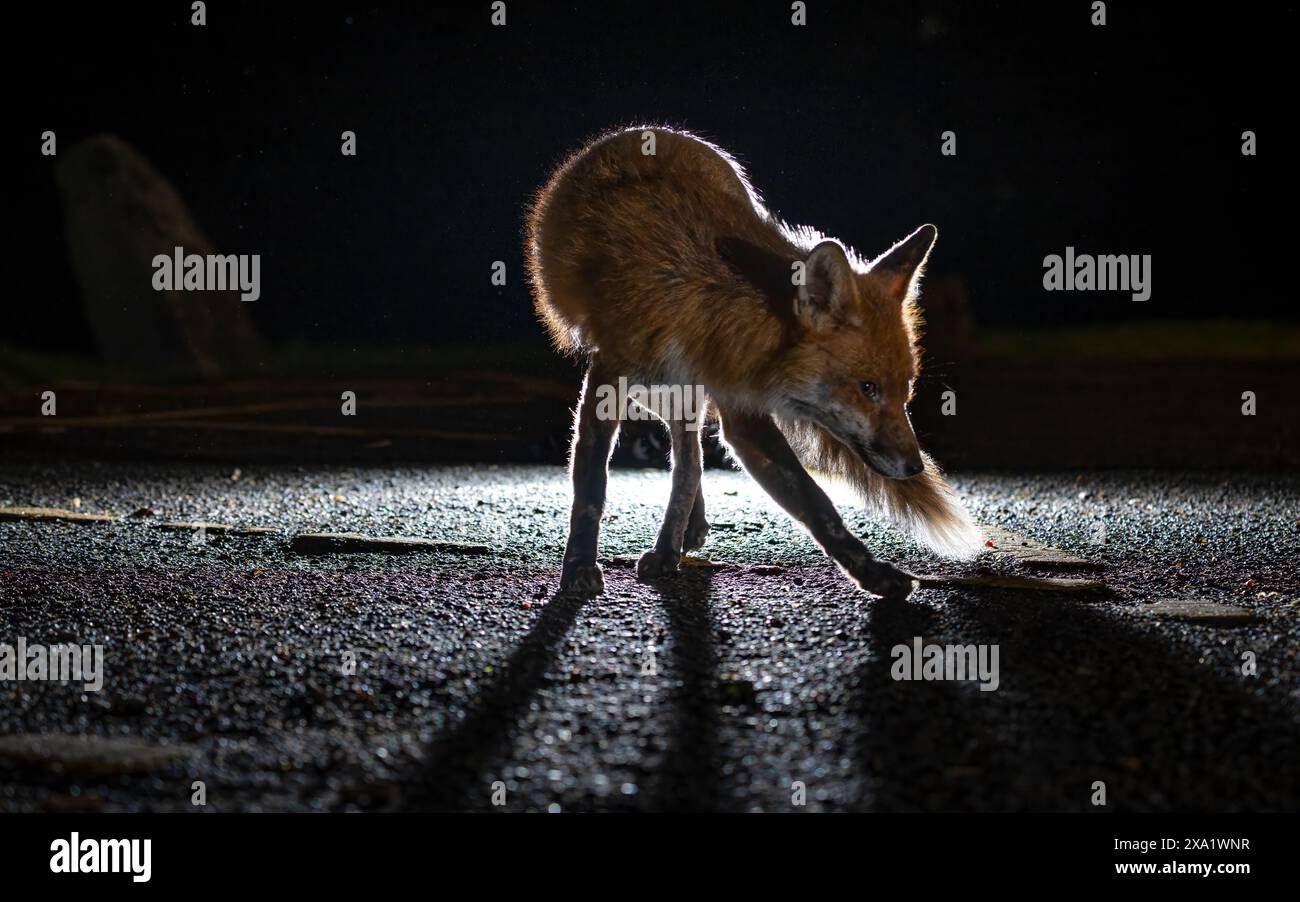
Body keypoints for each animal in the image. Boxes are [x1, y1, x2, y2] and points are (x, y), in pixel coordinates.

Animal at [526, 126, 982, 599]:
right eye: (867, 388)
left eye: (904, 392)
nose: (913, 467)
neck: (703, 304)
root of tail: (650, 129)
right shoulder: (608, 377)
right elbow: (591, 486)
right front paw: (579, 565)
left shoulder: (740, 403)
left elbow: (815, 503)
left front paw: (871, 573)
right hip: (655, 389)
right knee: (687, 455)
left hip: (678, 393)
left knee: (689, 460)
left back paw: (676, 541)